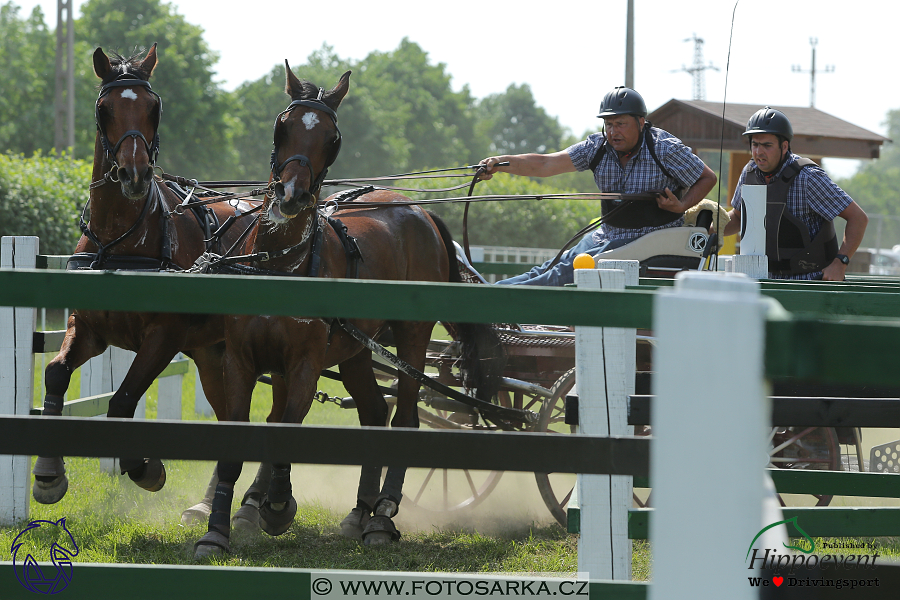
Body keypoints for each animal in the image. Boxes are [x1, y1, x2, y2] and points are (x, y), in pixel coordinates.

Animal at [33, 44, 274, 512]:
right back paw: (206, 505)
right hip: (212, 353)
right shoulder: (89, 328)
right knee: (227, 416)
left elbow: (123, 400)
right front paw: (49, 473)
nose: (134, 174)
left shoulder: (164, 336)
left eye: (153, 107)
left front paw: (145, 467)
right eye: (104, 109)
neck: (121, 240)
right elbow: (55, 373)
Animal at [195, 65, 506, 556]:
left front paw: (276, 505)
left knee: (404, 417)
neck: (280, 264)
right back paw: (359, 511)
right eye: (282, 126)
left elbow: (288, 426)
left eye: (333, 138)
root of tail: (418, 210)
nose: (291, 195)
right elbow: (239, 442)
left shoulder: (303, 365)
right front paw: (217, 531)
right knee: (374, 414)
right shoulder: (241, 362)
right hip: (359, 347)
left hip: (412, 337)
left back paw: (382, 514)